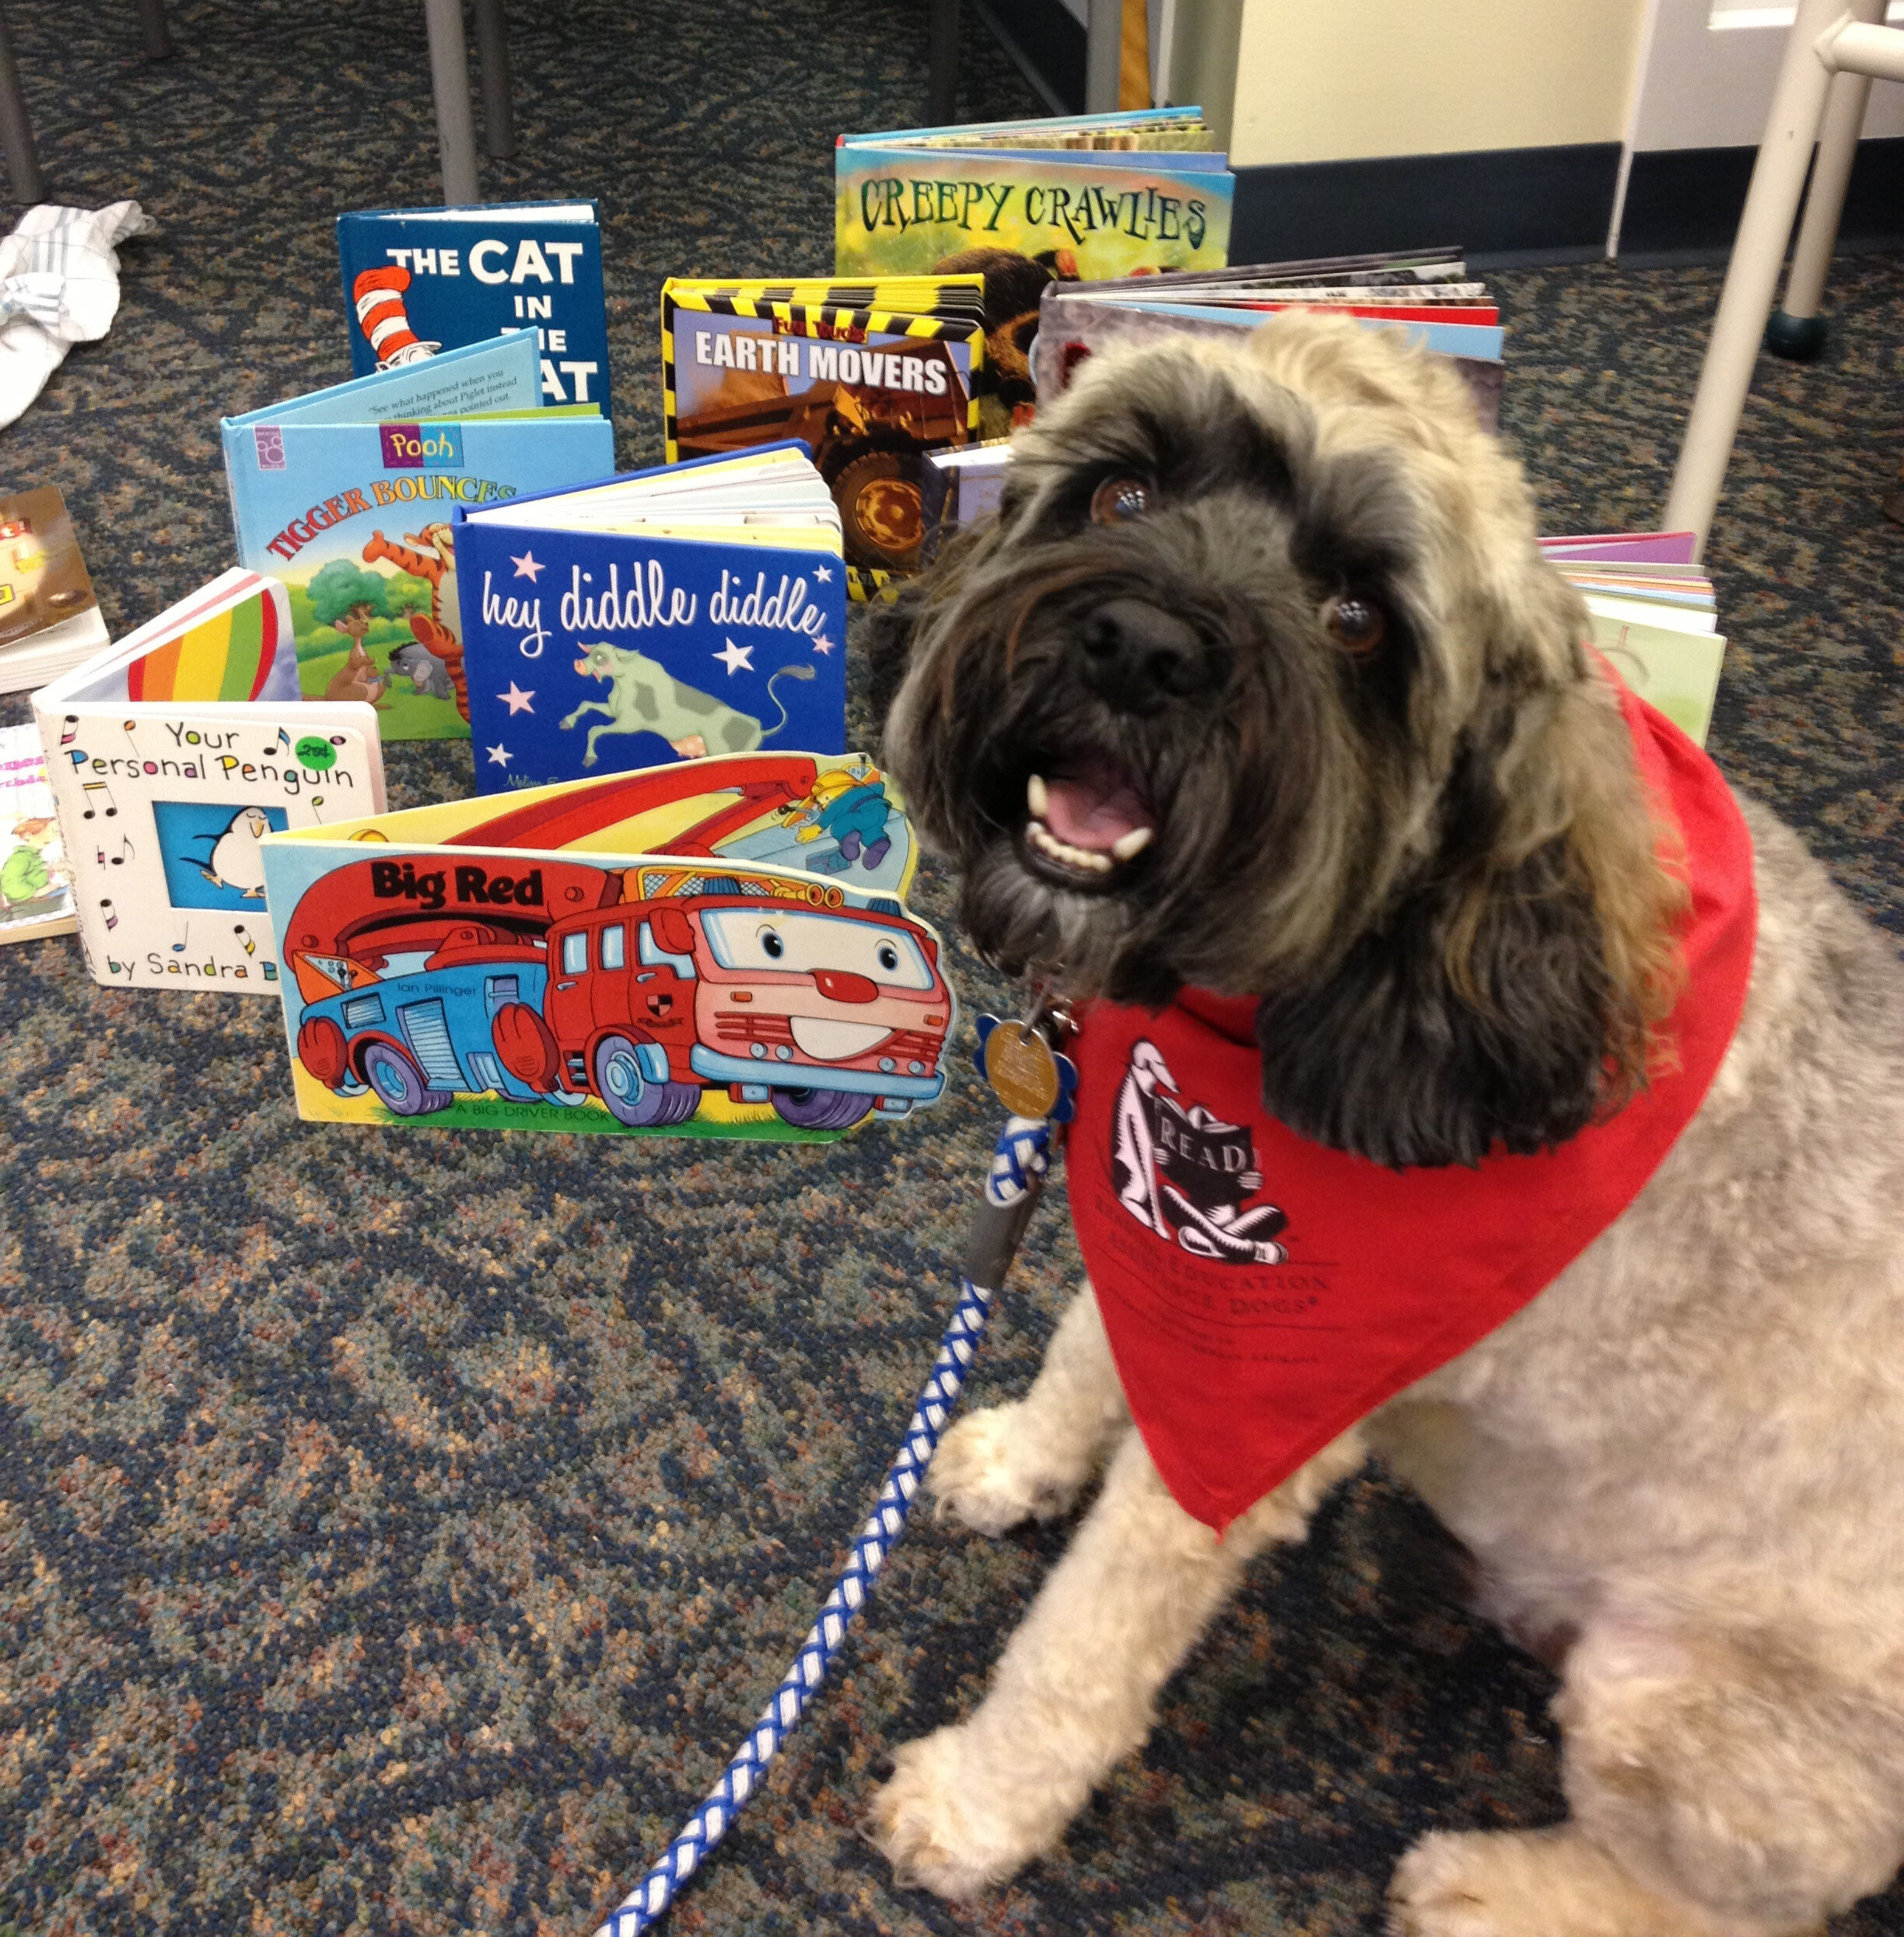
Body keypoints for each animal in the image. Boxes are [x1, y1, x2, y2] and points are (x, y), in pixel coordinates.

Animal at [859, 313, 1904, 1937]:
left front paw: (979, 1804)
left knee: (1735, 1908)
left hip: (1686, 1718)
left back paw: (1499, 1889)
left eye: (1354, 617)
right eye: (1118, 492)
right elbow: (1095, 1344)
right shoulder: (1171, 1254)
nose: (1138, 647)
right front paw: (1025, 1459)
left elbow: (1081, 1643)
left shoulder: (1247, 1422)